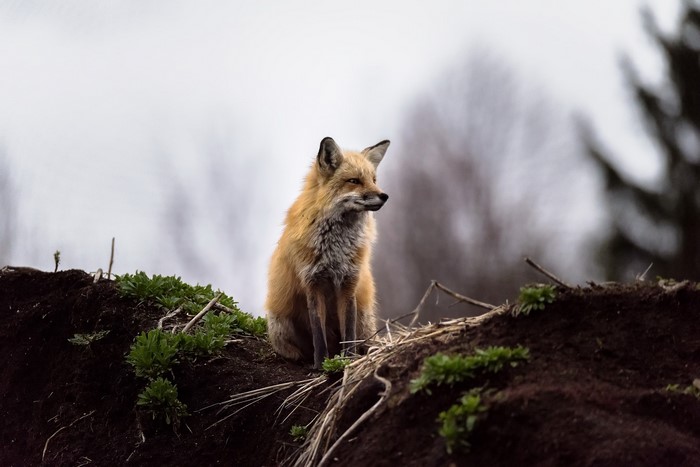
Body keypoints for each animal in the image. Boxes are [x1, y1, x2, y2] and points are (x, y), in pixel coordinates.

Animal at [265, 136, 390, 369]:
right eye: (354, 181)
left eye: (374, 179)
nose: (384, 196)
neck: (336, 250)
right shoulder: (313, 284)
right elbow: (318, 333)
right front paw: (320, 365)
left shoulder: (349, 283)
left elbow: (348, 333)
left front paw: (348, 360)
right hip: (280, 323)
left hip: (364, 318)